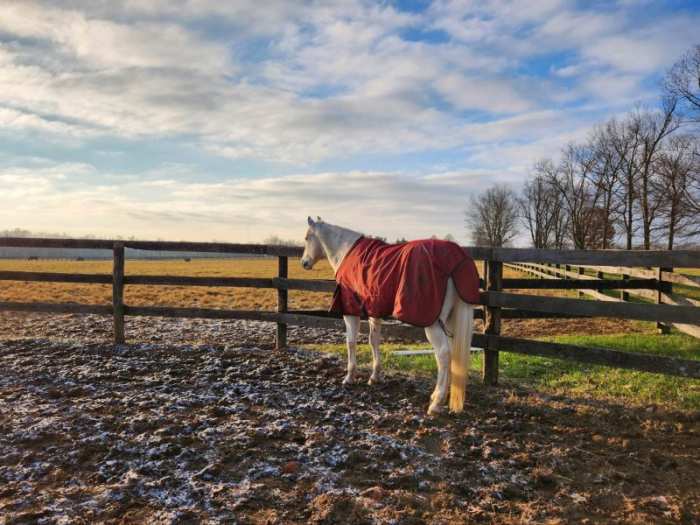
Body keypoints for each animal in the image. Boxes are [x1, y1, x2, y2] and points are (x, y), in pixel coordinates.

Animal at [301, 217, 477, 415]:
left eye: (307, 237)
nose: (304, 263)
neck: (346, 251)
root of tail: (456, 257)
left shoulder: (351, 311)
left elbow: (351, 342)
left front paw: (349, 377)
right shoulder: (374, 312)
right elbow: (374, 341)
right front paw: (374, 376)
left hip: (433, 323)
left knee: (444, 354)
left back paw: (436, 403)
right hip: (449, 319)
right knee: (452, 353)